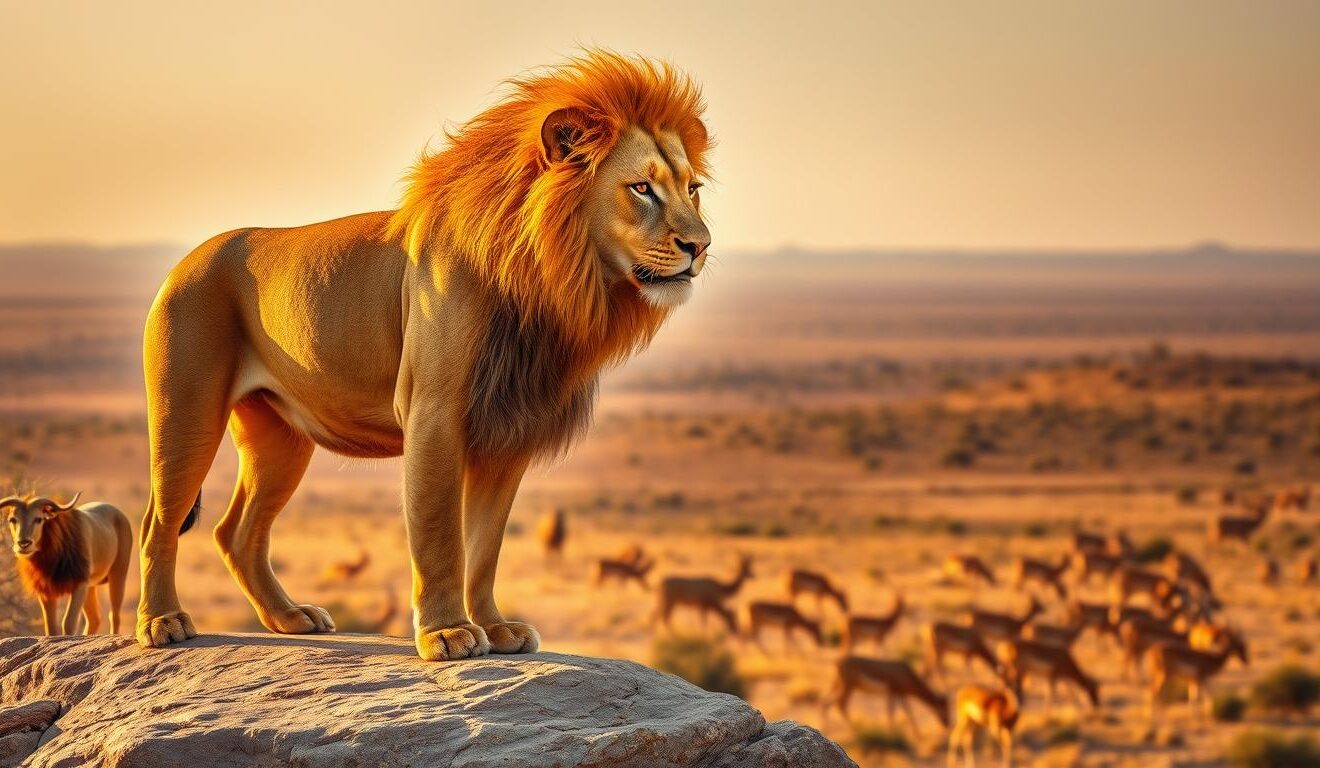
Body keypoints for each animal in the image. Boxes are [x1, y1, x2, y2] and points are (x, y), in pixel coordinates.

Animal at [135, 51, 711, 661]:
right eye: (642, 188)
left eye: (693, 188)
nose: (701, 246)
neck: (550, 282)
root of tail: (186, 260)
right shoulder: (434, 412)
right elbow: (439, 535)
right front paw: (446, 633)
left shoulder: (509, 431)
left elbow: (484, 548)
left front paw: (496, 628)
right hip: (186, 415)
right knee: (159, 521)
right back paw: (163, 622)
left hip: (281, 437)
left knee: (238, 531)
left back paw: (291, 618)